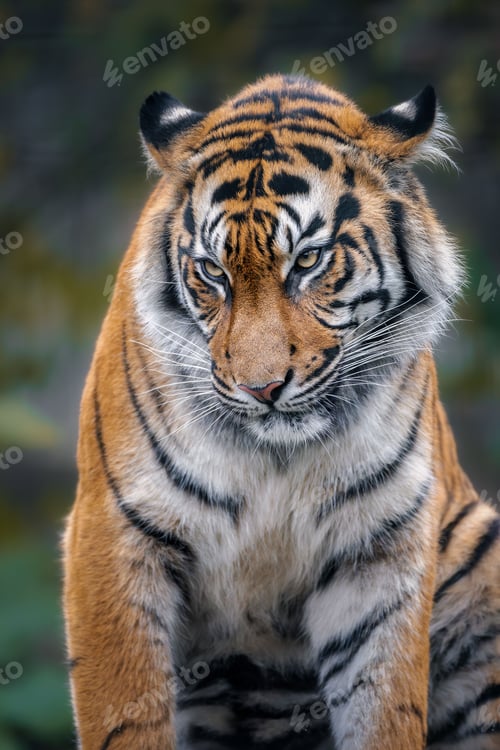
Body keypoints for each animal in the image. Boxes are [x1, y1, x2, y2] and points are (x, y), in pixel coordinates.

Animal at [63, 73, 500, 750]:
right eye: (212, 271)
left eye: (308, 261)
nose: (262, 387)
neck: (277, 458)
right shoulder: (113, 533)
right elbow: (127, 715)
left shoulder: (379, 551)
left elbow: (385, 711)